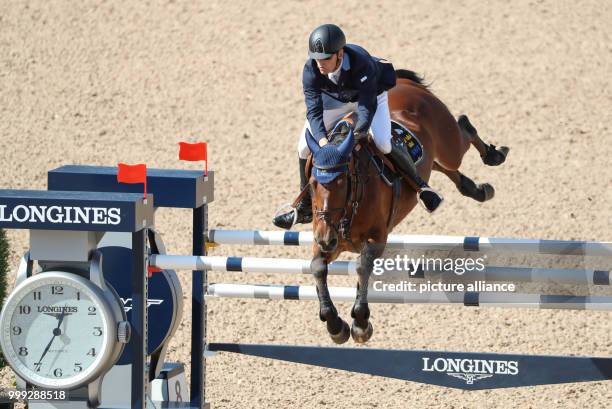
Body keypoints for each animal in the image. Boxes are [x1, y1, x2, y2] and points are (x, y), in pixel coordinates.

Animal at [304, 68, 510, 342]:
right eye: (312, 183)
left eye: (343, 182)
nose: (326, 238)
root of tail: (405, 82)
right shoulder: (330, 241)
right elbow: (317, 267)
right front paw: (335, 325)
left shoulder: (376, 238)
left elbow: (362, 267)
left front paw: (361, 324)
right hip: (432, 160)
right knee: (444, 171)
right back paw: (475, 190)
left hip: (449, 146)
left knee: (462, 132)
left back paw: (493, 154)